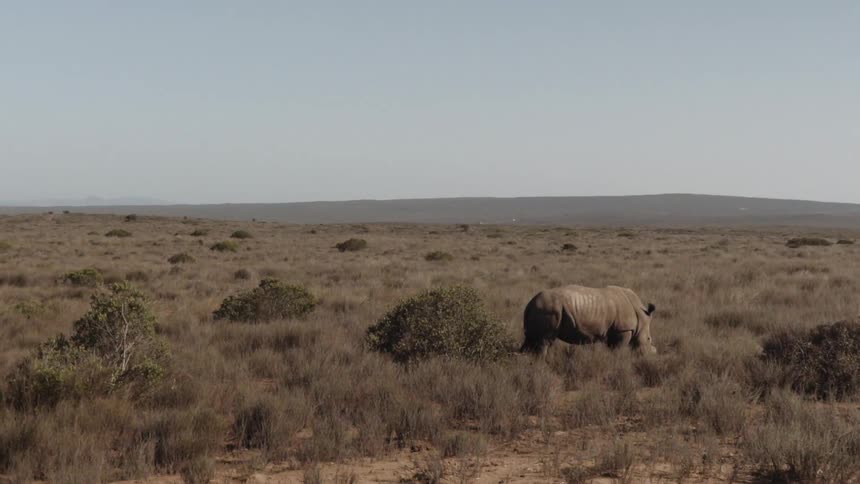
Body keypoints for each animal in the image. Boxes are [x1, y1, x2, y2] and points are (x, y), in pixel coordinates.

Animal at [520, 285, 657, 355]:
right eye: (648, 339)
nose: (651, 356)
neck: (640, 314)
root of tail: (530, 303)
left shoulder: (613, 331)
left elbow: (611, 348)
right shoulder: (623, 329)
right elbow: (618, 349)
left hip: (541, 309)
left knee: (531, 338)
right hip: (548, 309)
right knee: (544, 341)